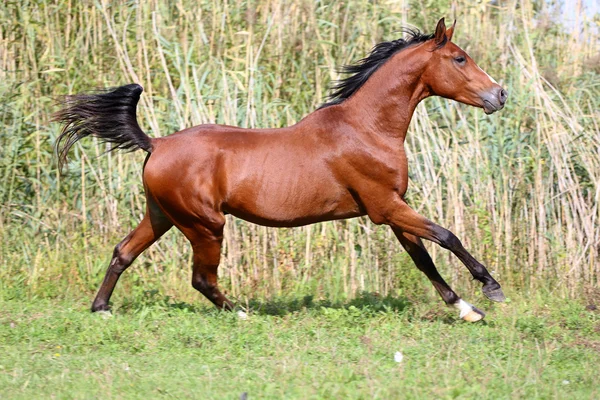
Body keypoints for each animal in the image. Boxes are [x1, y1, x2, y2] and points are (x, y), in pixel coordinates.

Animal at [55, 18, 506, 322]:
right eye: (459, 58)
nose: (500, 94)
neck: (366, 128)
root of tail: (158, 143)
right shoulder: (385, 207)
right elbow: (446, 236)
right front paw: (491, 288)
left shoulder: (393, 208)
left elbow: (423, 258)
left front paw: (467, 309)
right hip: (205, 225)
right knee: (201, 278)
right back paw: (241, 313)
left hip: (163, 215)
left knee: (123, 252)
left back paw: (102, 308)